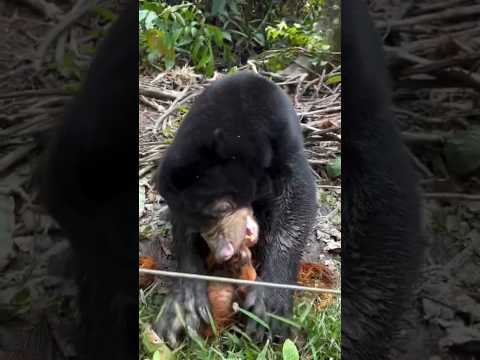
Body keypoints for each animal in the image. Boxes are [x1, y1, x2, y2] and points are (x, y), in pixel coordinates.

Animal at [155, 71, 318, 346]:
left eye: (223, 208)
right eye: (196, 223)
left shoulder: (284, 144)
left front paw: (270, 302)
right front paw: (185, 301)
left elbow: (299, 199)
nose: (223, 253)